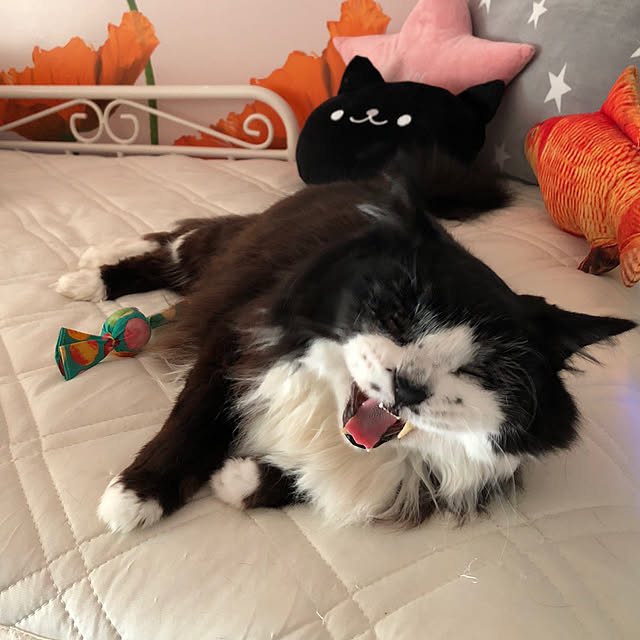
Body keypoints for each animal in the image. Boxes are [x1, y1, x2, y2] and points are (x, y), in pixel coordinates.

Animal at [56, 150, 636, 532]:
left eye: (480, 371)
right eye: (399, 316)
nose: (408, 387)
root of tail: (365, 184)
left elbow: (316, 480)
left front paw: (238, 479)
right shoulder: (233, 337)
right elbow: (191, 423)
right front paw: (135, 496)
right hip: (226, 252)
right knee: (173, 243)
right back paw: (89, 272)